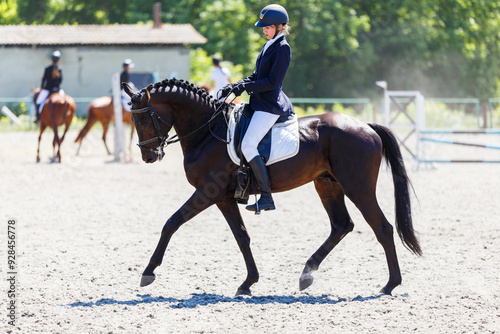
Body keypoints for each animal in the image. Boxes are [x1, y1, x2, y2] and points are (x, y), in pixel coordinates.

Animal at [122, 79, 422, 298]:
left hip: (357, 187)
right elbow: (242, 237)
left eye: (144, 119)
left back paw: (389, 285)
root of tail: (365, 126)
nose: (148, 156)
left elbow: (171, 223)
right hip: (327, 185)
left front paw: (148, 272)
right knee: (341, 225)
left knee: (382, 227)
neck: (207, 131)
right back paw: (306, 274)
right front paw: (248, 283)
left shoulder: (208, 192)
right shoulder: (224, 198)